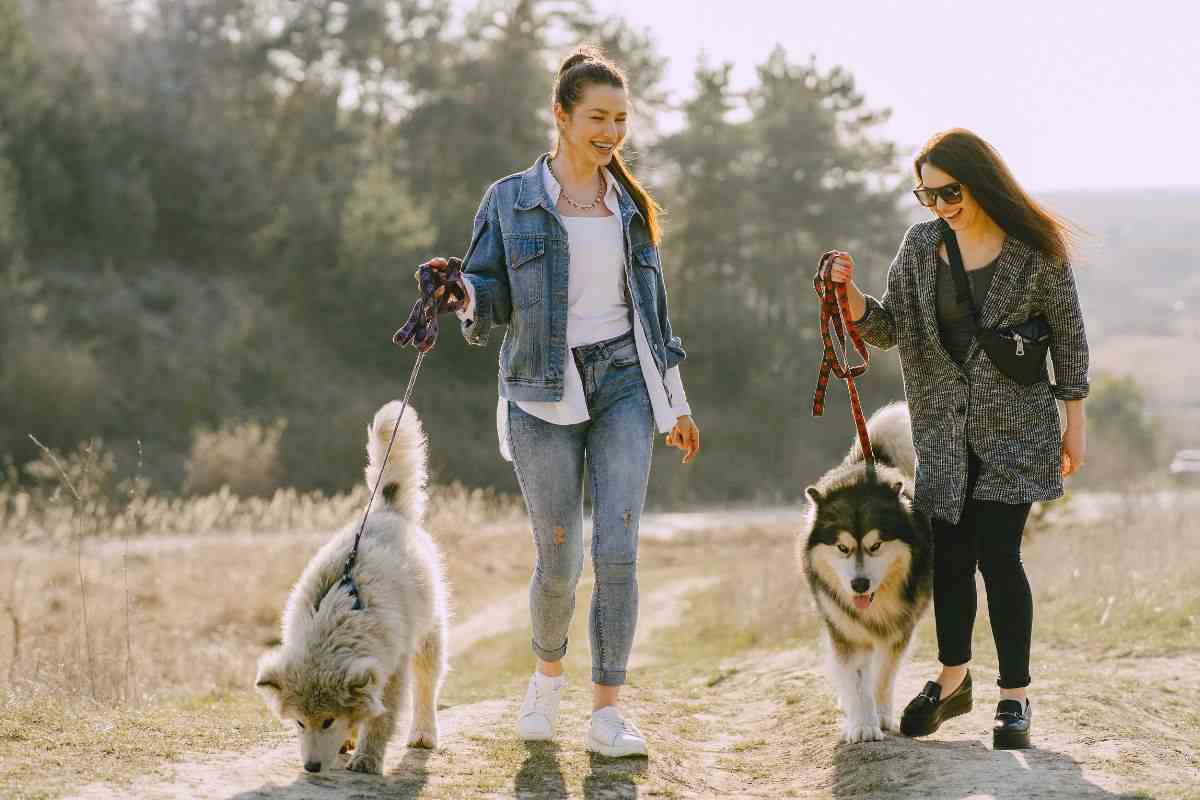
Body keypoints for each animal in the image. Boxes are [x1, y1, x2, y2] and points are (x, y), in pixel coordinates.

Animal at [256, 402, 451, 772]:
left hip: (428, 635)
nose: (311, 768)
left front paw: (366, 759)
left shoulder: (392, 671)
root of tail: (386, 511)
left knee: (426, 686)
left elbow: (381, 719)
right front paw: (349, 740)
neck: (338, 618)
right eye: (300, 722)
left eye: (328, 720)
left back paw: (423, 733)